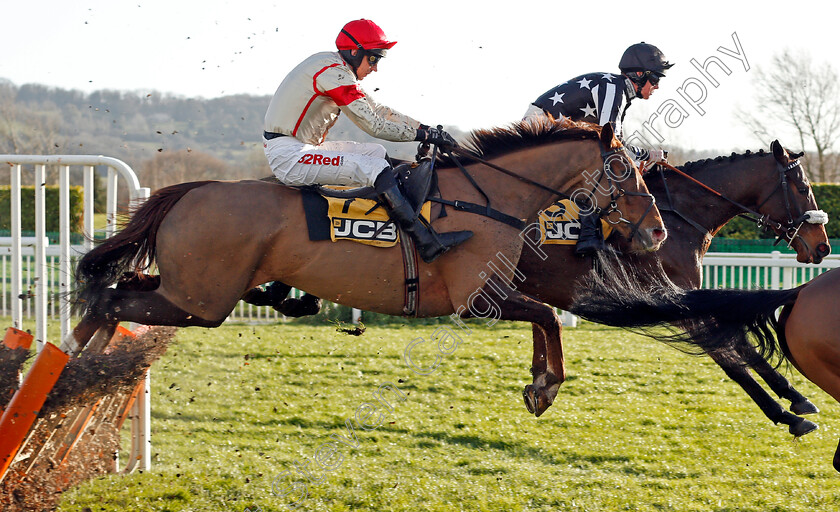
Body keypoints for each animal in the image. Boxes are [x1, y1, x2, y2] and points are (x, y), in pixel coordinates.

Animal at [65, 118, 668, 414]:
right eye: (625, 170)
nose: (657, 232)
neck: (488, 198)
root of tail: (192, 189)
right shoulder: (477, 300)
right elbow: (545, 317)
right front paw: (546, 386)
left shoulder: (496, 294)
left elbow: (545, 320)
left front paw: (538, 384)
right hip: (201, 301)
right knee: (114, 298)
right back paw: (74, 362)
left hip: (186, 290)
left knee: (121, 288)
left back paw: (77, 360)